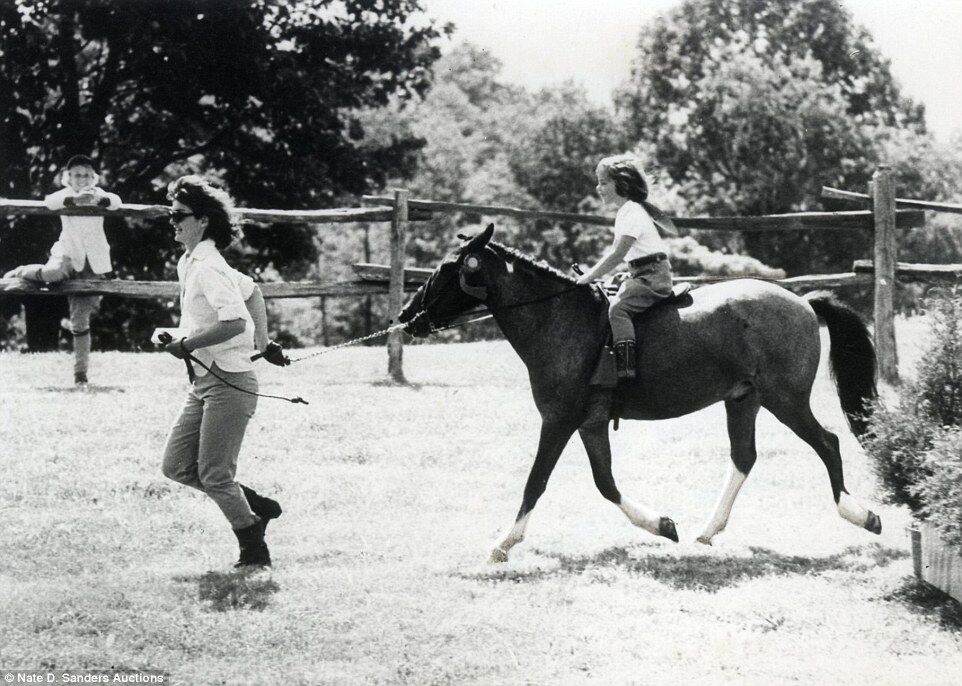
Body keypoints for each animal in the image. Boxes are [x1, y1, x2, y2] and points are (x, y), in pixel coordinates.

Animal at [398, 226, 876, 564]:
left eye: (447, 270)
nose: (407, 317)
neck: (559, 319)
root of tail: (804, 303)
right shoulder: (589, 424)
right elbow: (606, 484)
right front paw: (663, 525)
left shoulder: (558, 420)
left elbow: (537, 481)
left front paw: (503, 543)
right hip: (744, 400)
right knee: (744, 457)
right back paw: (707, 530)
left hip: (786, 400)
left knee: (828, 444)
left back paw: (861, 515)